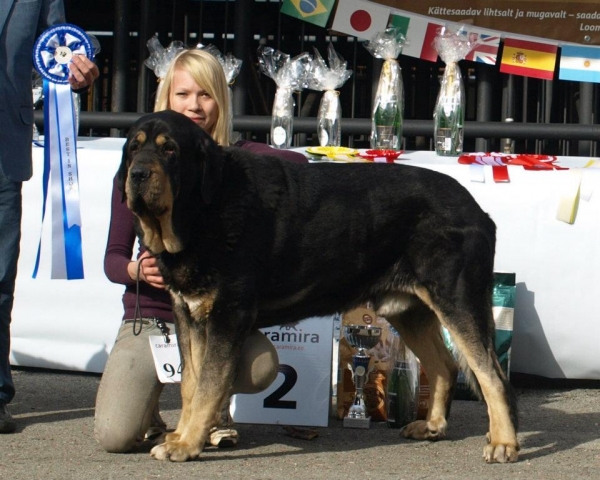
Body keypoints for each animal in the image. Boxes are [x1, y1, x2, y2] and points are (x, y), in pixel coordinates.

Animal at [118, 110, 520, 464]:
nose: (137, 174)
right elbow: (191, 384)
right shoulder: (188, 314)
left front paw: (186, 445)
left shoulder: (227, 316)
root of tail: (479, 211)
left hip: (458, 301)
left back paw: (503, 443)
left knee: (492, 375)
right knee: (445, 367)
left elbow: (207, 386)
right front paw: (182, 436)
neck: (206, 208)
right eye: (134, 148)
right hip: (410, 311)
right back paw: (433, 427)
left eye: (169, 149)